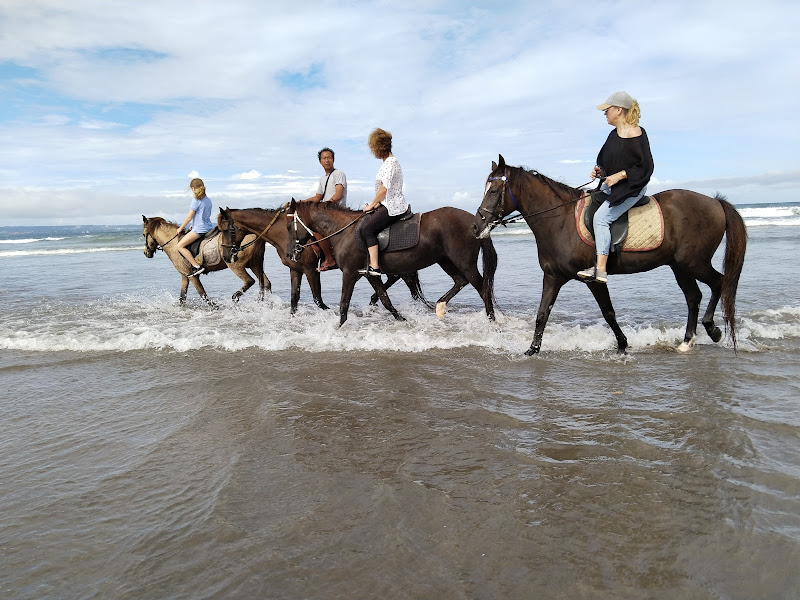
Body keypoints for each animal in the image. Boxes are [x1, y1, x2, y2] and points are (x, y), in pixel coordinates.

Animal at [217, 206, 432, 314]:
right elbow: (294, 299)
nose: (227, 256)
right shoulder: (295, 270)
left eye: (227, 229)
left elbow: (318, 299)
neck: (284, 234)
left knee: (406, 282)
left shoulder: (310, 269)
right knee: (400, 280)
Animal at [284, 199, 496, 326]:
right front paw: (401, 319)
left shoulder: (350, 273)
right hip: (445, 260)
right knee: (460, 281)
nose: (289, 253)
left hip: (463, 262)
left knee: (483, 289)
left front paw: (338, 328)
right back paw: (440, 306)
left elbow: (344, 303)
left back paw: (492, 321)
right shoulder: (370, 275)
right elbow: (384, 298)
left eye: (288, 227)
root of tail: (475, 222)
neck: (344, 231)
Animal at [472, 154, 748, 356]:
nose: (476, 226)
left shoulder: (594, 279)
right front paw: (532, 350)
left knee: (719, 282)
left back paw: (712, 329)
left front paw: (623, 345)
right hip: (679, 266)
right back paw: (687, 341)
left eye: (494, 191)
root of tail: (715, 202)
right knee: (694, 296)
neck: (560, 221)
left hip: (694, 263)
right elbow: (542, 315)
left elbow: (608, 313)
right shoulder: (553, 277)